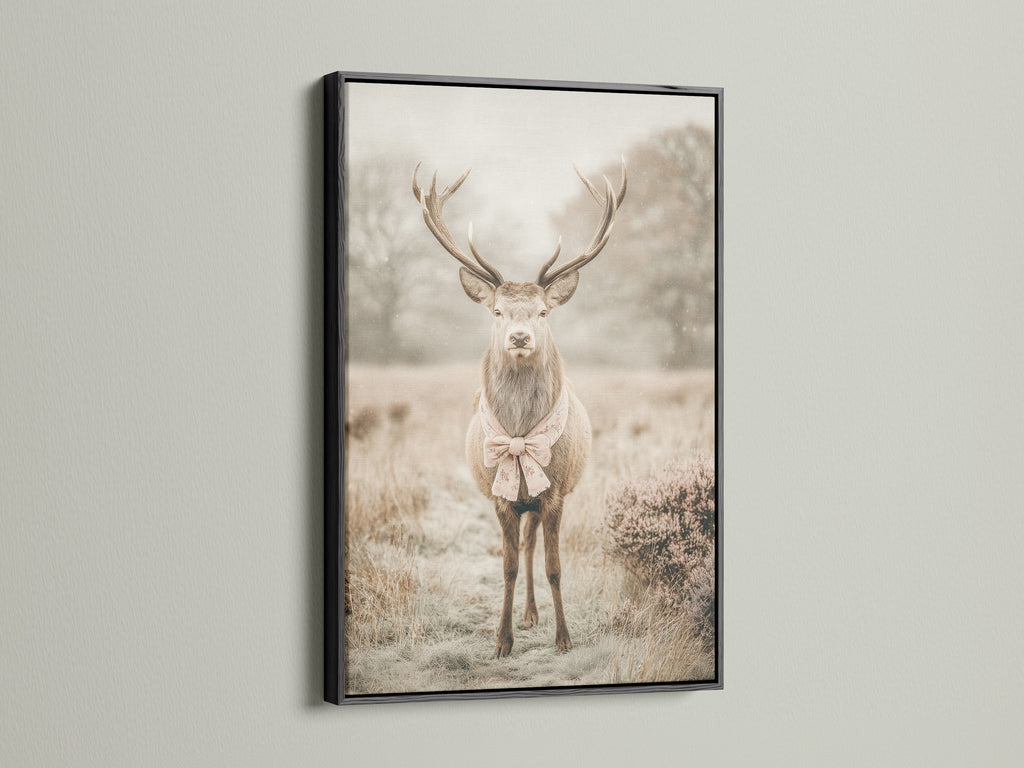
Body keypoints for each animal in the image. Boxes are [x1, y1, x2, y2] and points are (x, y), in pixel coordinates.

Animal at [412, 160, 626, 657]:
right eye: (496, 311)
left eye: (544, 312)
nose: (520, 336)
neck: (519, 434)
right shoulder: (499, 496)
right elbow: (506, 566)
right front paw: (501, 640)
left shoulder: (556, 492)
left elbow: (554, 567)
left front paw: (563, 638)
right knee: (523, 551)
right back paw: (525, 615)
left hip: (539, 496)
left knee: (532, 549)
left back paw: (534, 614)